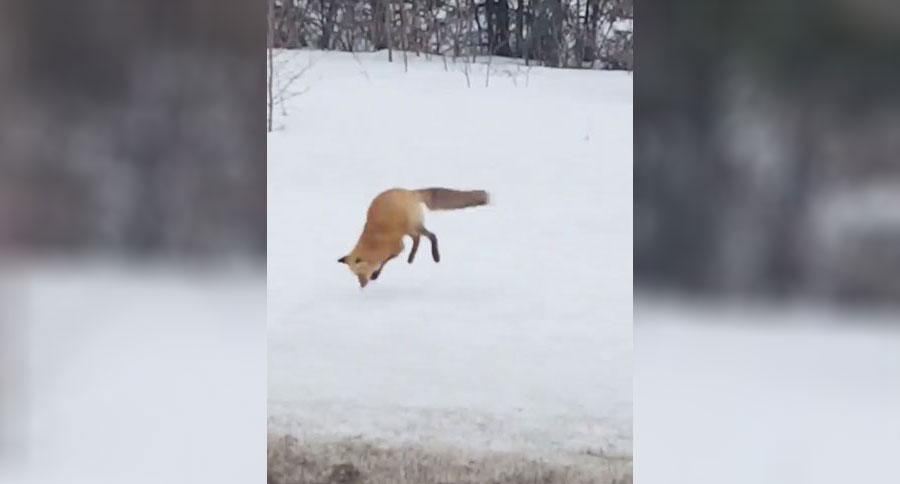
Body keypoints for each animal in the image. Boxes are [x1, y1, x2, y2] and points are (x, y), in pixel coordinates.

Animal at [340, 187, 492, 288]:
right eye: (356, 275)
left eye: (360, 274)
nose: (362, 286)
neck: (373, 243)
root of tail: (409, 192)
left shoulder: (396, 248)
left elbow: (385, 261)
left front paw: (375, 275)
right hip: (409, 229)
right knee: (418, 238)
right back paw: (412, 258)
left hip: (413, 226)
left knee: (431, 236)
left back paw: (434, 256)